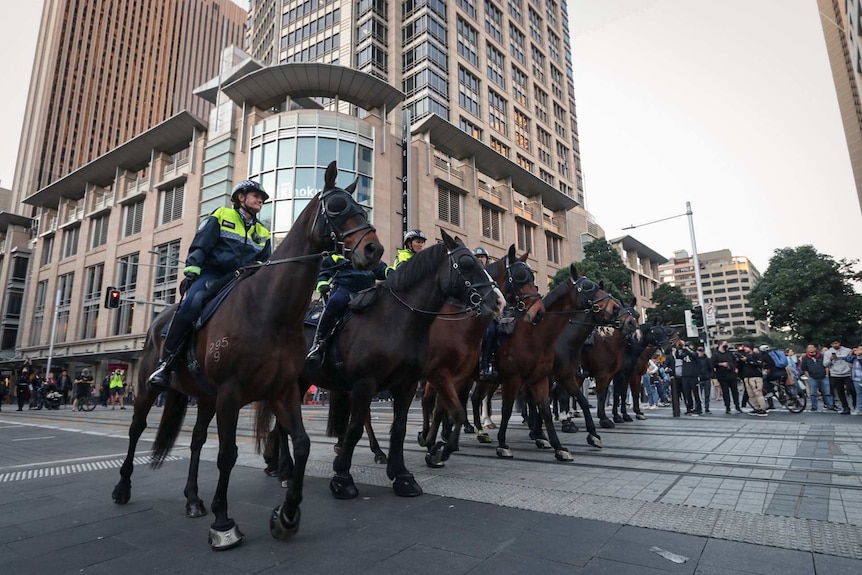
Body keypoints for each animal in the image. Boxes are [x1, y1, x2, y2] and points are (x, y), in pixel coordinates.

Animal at [110, 163, 382, 552]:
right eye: (336, 207)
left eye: (361, 207)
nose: (374, 249)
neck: (269, 311)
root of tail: (159, 320)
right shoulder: (231, 393)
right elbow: (227, 455)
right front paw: (224, 523)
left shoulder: (283, 391)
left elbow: (302, 444)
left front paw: (287, 515)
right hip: (150, 390)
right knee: (136, 430)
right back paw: (123, 486)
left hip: (204, 398)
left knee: (196, 441)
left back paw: (193, 499)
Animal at [470, 266, 624, 464]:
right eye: (588, 287)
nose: (616, 309)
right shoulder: (515, 379)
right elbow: (509, 409)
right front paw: (505, 444)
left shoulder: (551, 377)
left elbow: (554, 407)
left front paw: (561, 443)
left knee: (475, 398)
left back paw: (480, 431)